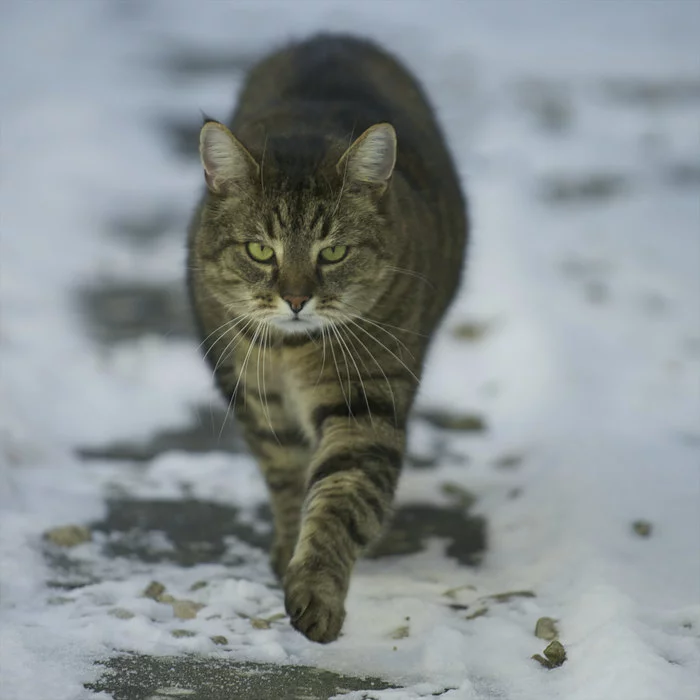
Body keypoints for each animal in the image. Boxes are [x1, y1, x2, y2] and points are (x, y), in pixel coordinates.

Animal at [189, 35, 468, 644]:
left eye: (334, 252)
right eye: (260, 250)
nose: (296, 299)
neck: (291, 353)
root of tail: (330, 34)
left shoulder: (366, 403)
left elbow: (340, 499)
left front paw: (315, 592)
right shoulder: (256, 400)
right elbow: (288, 481)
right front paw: (287, 550)